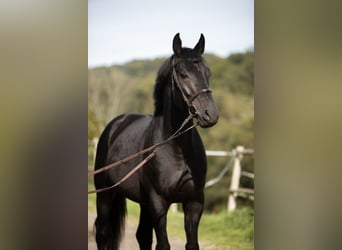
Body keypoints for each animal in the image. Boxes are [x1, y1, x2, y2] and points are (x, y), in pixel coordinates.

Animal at [93, 33, 219, 250]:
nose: (210, 115)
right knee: (103, 233)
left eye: (208, 72)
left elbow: (192, 244)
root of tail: (116, 124)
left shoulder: (194, 202)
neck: (176, 148)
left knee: (142, 235)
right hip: (105, 196)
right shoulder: (158, 203)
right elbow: (163, 245)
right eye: (183, 74)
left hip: (142, 203)